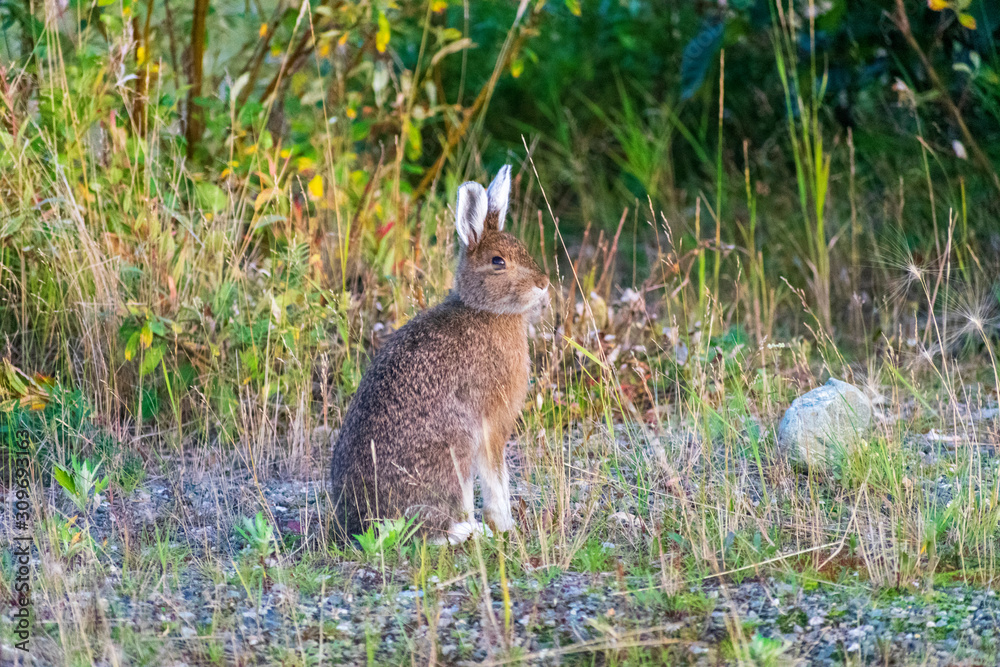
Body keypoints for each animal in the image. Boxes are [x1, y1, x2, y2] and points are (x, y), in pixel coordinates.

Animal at [330, 166, 549, 545]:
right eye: (498, 261)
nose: (543, 283)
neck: (485, 310)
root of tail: (364, 524)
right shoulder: (491, 424)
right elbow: (496, 478)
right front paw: (505, 525)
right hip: (454, 450)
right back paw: (472, 531)